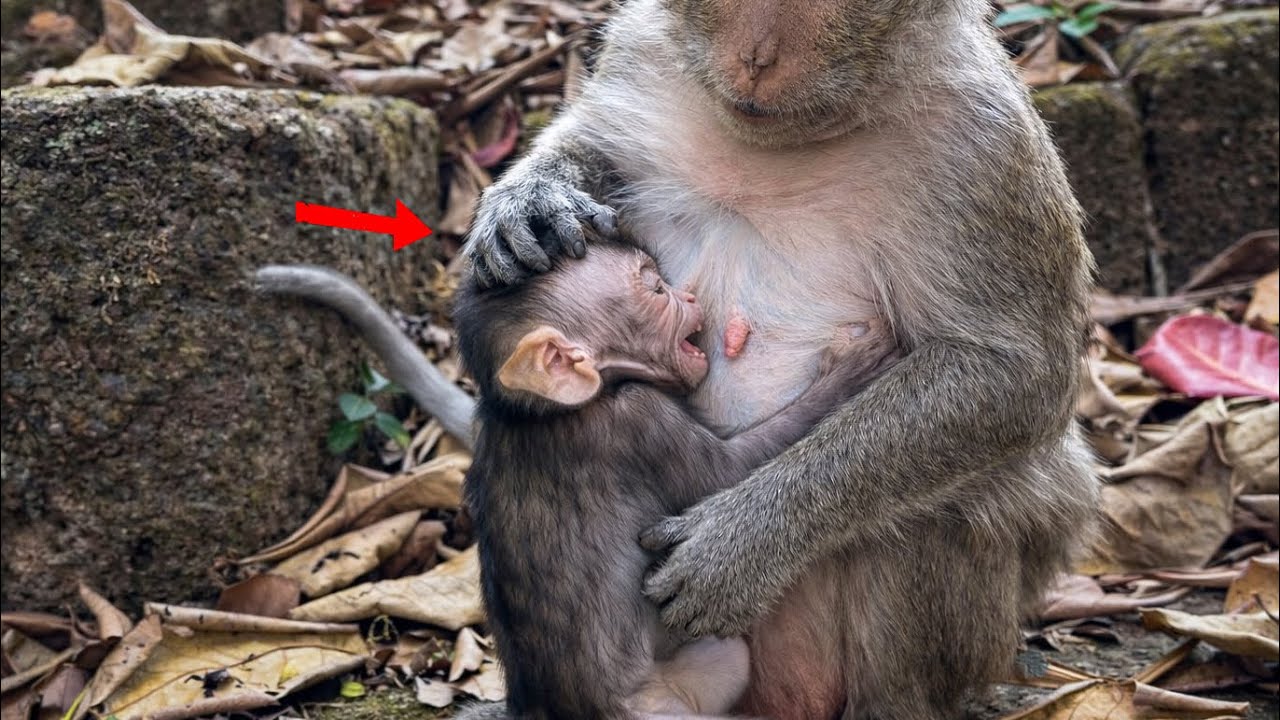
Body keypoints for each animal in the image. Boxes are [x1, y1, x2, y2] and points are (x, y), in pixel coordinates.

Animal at [451, 242, 894, 720]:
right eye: (655, 288)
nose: (690, 297)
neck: (538, 412)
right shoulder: (639, 420)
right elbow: (730, 470)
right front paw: (853, 367)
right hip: (662, 705)